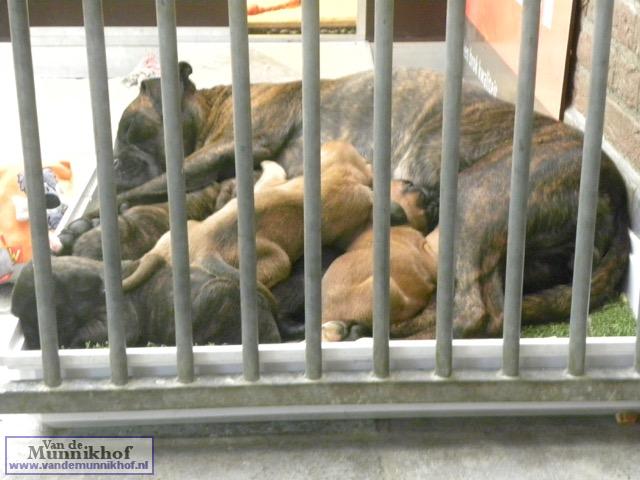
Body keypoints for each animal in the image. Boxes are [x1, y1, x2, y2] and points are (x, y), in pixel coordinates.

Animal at [58, 64, 629, 336]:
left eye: (130, 130)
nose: (109, 160)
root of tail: (613, 187)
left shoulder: (228, 148)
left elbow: (151, 185)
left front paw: (84, 221)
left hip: (473, 201)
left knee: (470, 314)